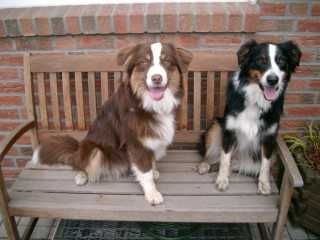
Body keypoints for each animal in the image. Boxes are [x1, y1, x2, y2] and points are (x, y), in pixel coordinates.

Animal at [32, 42, 192, 204]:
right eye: (144, 62)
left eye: (167, 61)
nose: (156, 78)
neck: (147, 105)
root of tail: (77, 149)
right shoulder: (135, 143)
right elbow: (144, 172)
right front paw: (152, 193)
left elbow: (150, 161)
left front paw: (153, 171)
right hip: (94, 150)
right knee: (80, 164)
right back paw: (81, 176)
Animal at [199, 39, 302, 193]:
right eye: (261, 60)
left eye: (281, 61)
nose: (273, 80)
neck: (256, 100)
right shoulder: (230, 130)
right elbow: (225, 158)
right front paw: (222, 179)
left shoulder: (269, 136)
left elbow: (265, 163)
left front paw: (264, 183)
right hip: (216, 126)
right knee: (213, 157)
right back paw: (204, 165)